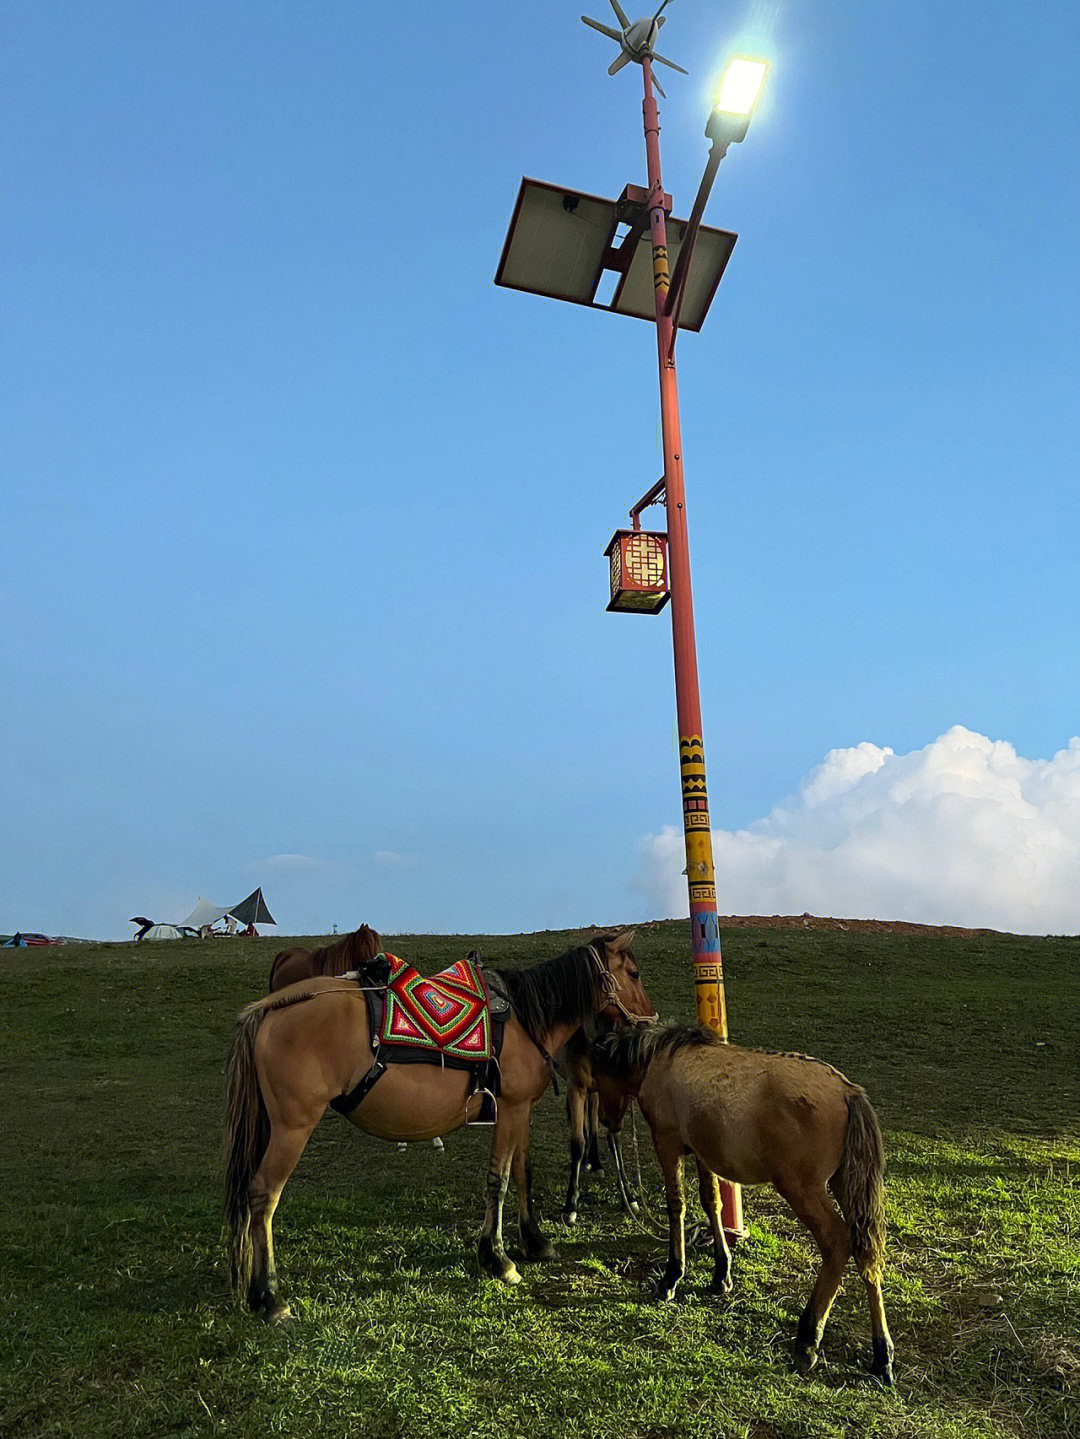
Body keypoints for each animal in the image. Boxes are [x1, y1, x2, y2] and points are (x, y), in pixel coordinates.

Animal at [224, 926, 655, 1318]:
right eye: (634, 973)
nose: (649, 1020)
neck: (524, 1018)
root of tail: (272, 1006)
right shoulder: (511, 1109)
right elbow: (499, 1180)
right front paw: (497, 1258)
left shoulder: (520, 1111)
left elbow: (523, 1174)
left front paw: (534, 1241)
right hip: (291, 1129)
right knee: (263, 1197)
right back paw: (268, 1297)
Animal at [592, 1024, 897, 1381]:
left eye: (597, 1077)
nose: (606, 1121)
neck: (661, 1058)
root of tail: (847, 1092)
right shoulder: (702, 1152)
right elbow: (712, 1203)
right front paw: (721, 1273)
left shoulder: (667, 1143)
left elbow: (676, 1204)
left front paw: (672, 1277)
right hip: (846, 1185)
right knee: (866, 1251)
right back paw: (882, 1355)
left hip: (803, 1190)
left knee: (838, 1243)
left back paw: (808, 1339)